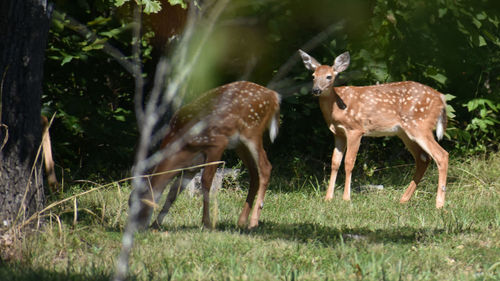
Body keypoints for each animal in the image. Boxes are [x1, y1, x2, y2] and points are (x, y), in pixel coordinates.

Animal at [131, 80, 282, 229]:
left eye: (139, 205)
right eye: (129, 202)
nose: (136, 229)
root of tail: (274, 96)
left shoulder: (217, 143)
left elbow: (206, 181)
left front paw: (206, 223)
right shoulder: (192, 165)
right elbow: (174, 192)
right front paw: (156, 224)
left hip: (252, 130)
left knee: (265, 167)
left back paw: (253, 222)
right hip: (240, 144)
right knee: (254, 174)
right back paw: (241, 221)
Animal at [296, 49, 450, 208]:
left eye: (329, 76)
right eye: (313, 76)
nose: (316, 90)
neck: (336, 109)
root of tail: (441, 98)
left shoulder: (355, 129)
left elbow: (349, 162)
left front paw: (346, 198)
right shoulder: (338, 133)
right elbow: (334, 163)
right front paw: (328, 198)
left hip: (419, 126)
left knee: (441, 155)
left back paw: (439, 204)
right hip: (405, 133)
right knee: (423, 159)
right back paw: (403, 199)